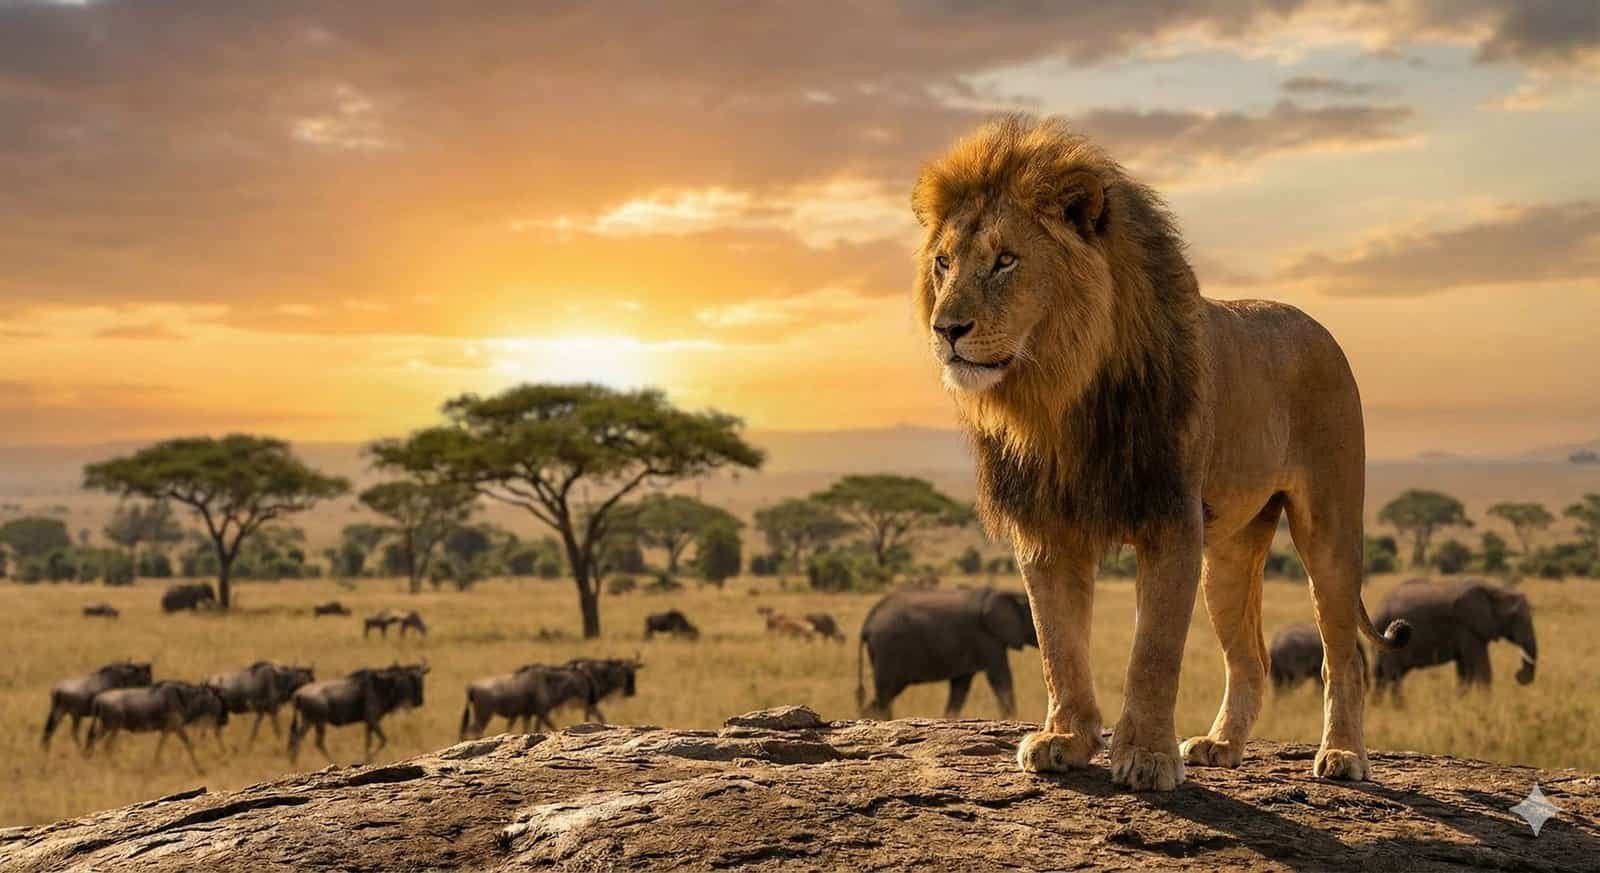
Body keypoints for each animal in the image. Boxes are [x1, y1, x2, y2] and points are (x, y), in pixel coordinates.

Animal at [910, 115, 1409, 792]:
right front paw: (1065, 739)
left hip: (1329, 526)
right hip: (1231, 552)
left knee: (1345, 654)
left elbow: (1153, 652)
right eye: (943, 263)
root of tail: (1315, 324)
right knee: (1251, 657)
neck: (1058, 395)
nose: (946, 330)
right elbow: (1058, 644)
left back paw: (1343, 755)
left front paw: (1145, 756)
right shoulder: (1045, 528)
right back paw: (1222, 745)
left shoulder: (1171, 518)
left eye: (1005, 261)